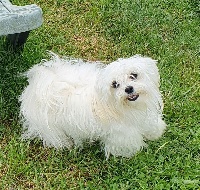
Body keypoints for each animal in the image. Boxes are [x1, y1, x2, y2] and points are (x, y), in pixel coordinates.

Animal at [19, 53, 166, 157]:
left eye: (133, 75)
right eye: (115, 84)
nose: (128, 89)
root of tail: (35, 87)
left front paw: (156, 133)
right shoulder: (122, 134)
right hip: (49, 127)